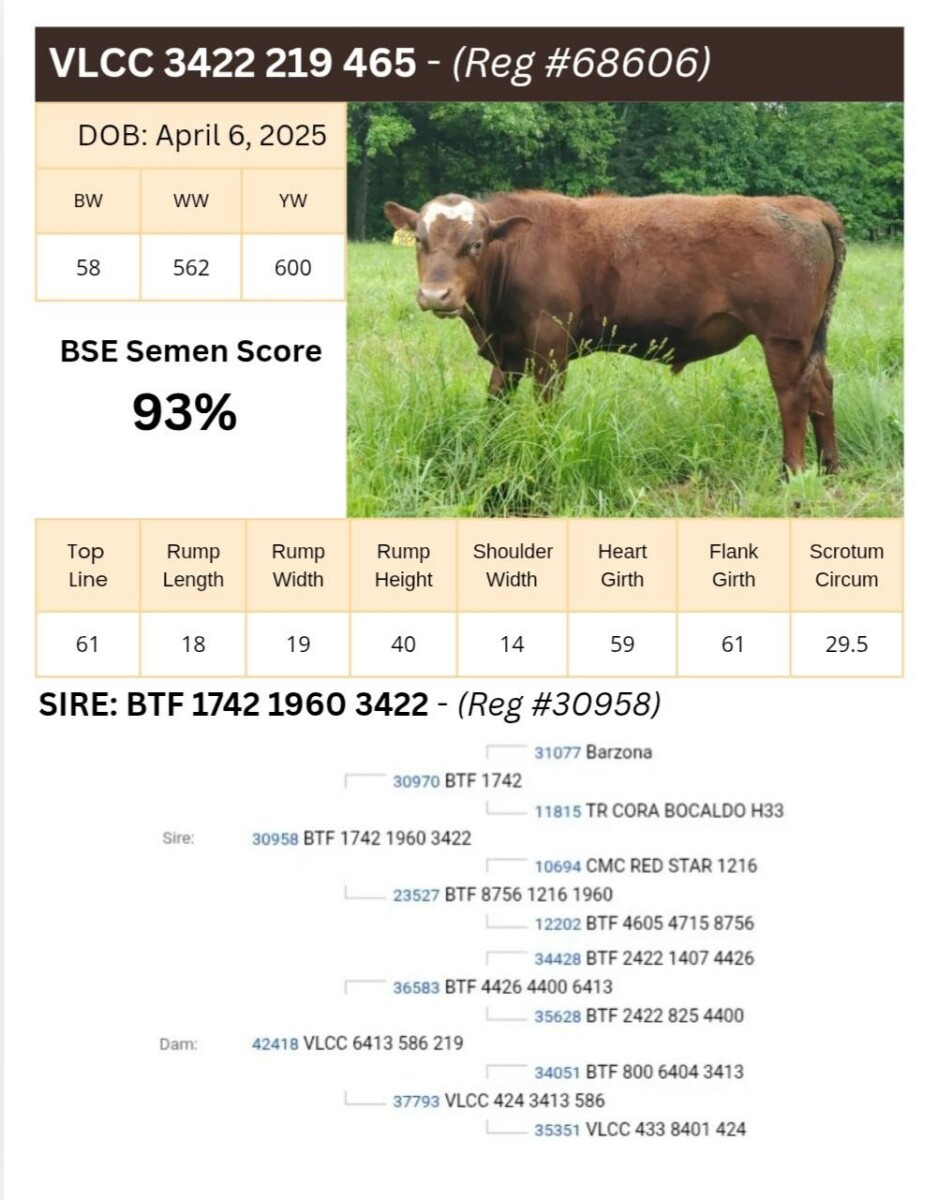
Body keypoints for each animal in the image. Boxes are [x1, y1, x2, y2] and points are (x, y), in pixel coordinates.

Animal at [384, 190, 846, 474]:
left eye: (476, 244)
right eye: (420, 241)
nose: (435, 295)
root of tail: (799, 203)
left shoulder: (550, 346)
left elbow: (546, 408)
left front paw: (544, 455)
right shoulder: (506, 350)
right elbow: (495, 403)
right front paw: (489, 449)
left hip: (784, 337)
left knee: (793, 395)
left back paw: (792, 471)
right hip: (809, 338)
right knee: (822, 386)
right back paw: (830, 466)